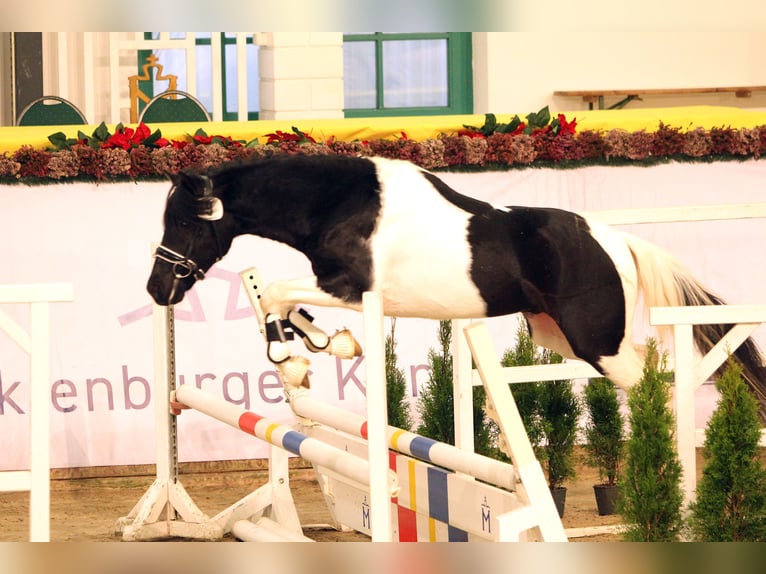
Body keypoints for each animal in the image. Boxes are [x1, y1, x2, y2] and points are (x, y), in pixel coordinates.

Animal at [147, 155, 766, 420]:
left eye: (184, 224)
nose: (157, 290)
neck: (342, 203)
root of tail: (618, 242)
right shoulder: (338, 287)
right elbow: (282, 299)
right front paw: (321, 347)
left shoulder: (350, 285)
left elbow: (275, 292)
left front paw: (292, 356)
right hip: (559, 336)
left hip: (597, 344)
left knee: (651, 385)